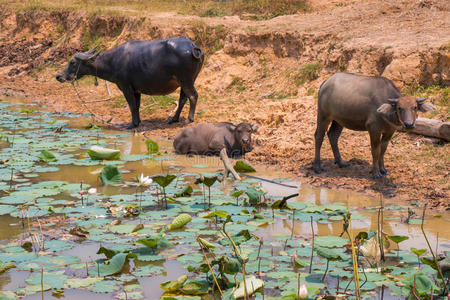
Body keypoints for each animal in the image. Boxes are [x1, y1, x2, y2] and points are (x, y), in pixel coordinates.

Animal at [55, 36, 204, 127]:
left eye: (72, 62)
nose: (58, 76)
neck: (113, 61)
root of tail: (192, 46)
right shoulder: (136, 89)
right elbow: (136, 106)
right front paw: (137, 121)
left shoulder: (125, 86)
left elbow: (131, 105)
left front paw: (132, 124)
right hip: (188, 80)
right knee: (183, 98)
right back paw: (174, 119)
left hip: (185, 80)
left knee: (193, 96)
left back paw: (189, 119)